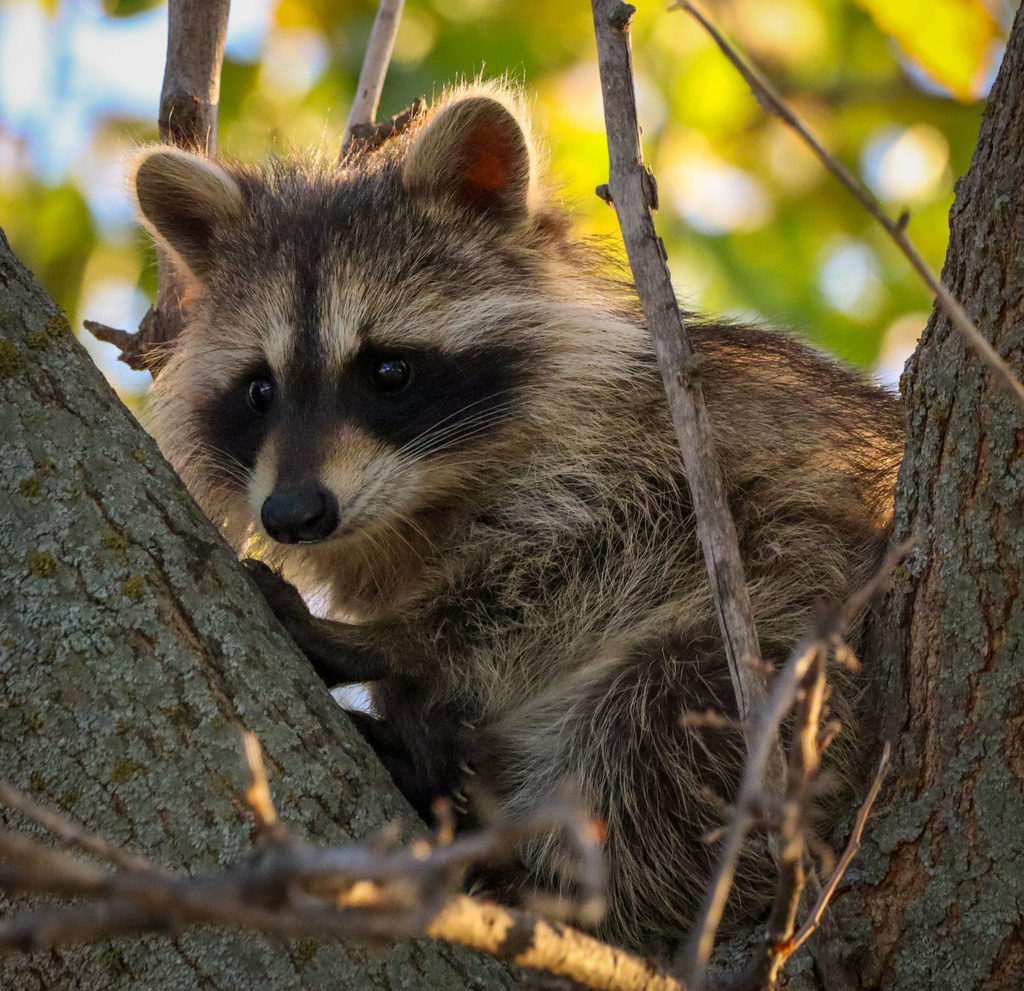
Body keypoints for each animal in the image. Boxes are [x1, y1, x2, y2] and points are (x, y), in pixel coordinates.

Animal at [130, 89, 905, 954]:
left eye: (388, 371)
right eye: (259, 390)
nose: (294, 514)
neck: (420, 501)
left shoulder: (674, 462)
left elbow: (568, 571)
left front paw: (394, 641)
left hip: (805, 638)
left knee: (664, 721)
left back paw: (557, 881)